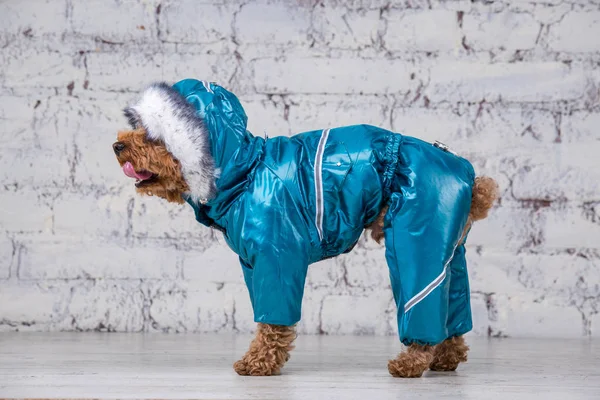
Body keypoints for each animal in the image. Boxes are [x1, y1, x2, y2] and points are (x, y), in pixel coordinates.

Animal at [112, 79, 496, 378]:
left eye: (152, 136)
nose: (117, 145)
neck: (243, 172)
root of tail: (470, 177)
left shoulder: (277, 255)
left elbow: (273, 320)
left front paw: (259, 363)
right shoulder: (252, 264)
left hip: (418, 232)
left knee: (422, 296)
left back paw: (410, 363)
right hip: (452, 246)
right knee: (455, 310)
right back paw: (445, 358)